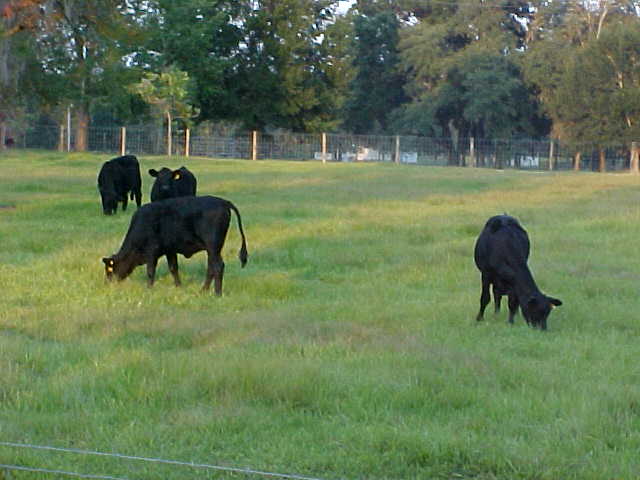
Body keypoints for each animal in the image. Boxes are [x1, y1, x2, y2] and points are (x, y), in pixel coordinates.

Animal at [102, 193, 248, 294]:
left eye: (110, 269)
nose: (108, 284)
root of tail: (223, 202)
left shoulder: (151, 252)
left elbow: (150, 271)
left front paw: (149, 288)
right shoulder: (170, 251)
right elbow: (173, 268)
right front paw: (179, 286)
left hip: (213, 247)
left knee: (217, 267)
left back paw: (217, 293)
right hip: (212, 250)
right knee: (211, 267)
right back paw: (203, 290)